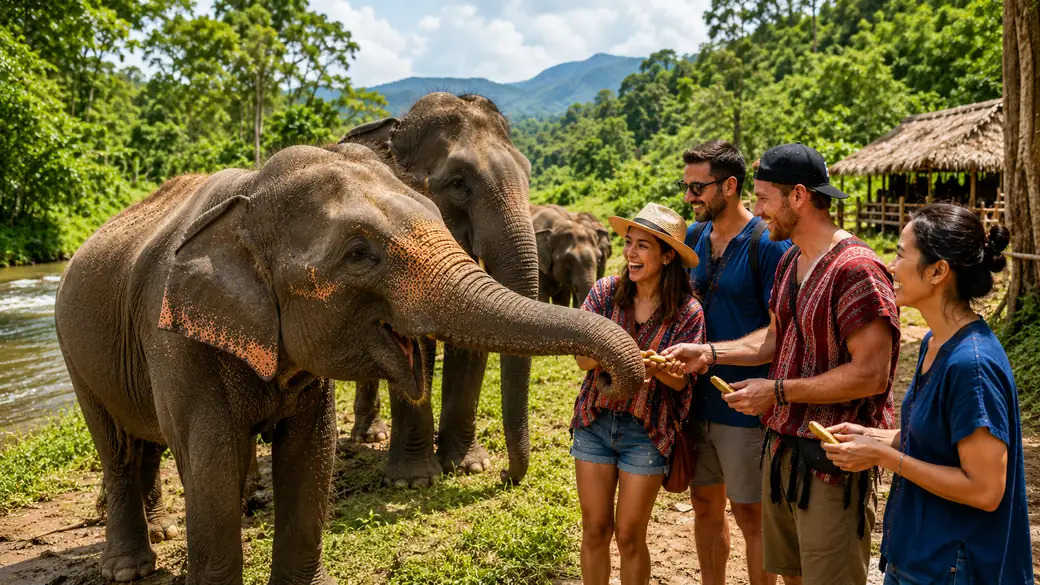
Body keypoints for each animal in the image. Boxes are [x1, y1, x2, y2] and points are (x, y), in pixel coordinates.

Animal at [53, 143, 645, 584]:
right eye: (360, 255)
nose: (613, 380)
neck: (247, 197)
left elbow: (310, 456)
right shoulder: (174, 337)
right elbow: (213, 460)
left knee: (144, 440)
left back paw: (162, 533)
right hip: (73, 352)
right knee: (115, 446)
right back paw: (129, 567)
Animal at [339, 92, 542, 486]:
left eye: (528, 176)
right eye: (459, 184)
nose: (505, 475)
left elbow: (474, 335)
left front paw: (469, 466)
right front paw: (413, 480)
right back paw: (368, 437)